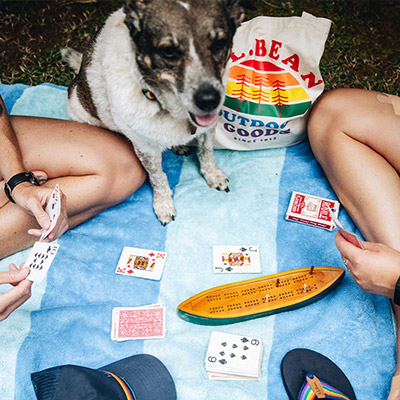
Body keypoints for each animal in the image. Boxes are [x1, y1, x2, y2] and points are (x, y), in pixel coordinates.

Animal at [62, 0, 244, 225]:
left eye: (219, 43)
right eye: (168, 51)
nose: (209, 100)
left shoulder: (207, 129)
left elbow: (206, 152)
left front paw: (213, 175)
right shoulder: (145, 148)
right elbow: (158, 178)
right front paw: (163, 205)